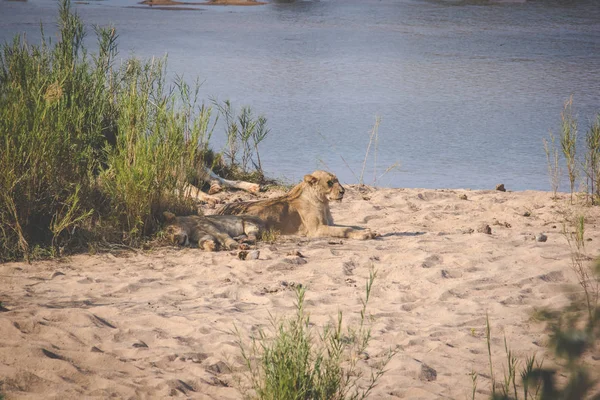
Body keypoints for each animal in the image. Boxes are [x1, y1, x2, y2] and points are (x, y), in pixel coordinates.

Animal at [216, 170, 376, 239]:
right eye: (330, 183)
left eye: (338, 180)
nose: (343, 191)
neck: (324, 203)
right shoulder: (316, 230)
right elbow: (346, 229)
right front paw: (364, 234)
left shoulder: (329, 224)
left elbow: (352, 225)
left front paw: (370, 230)